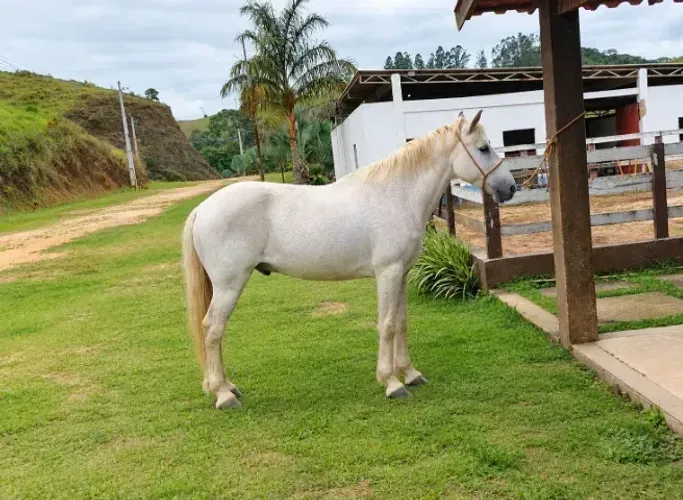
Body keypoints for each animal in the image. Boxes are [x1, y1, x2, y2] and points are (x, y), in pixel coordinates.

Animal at [182, 111, 517, 409]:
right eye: (483, 148)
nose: (511, 188)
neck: (397, 195)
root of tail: (203, 209)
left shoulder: (402, 274)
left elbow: (402, 322)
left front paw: (410, 374)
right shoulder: (387, 273)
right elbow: (387, 325)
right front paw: (392, 383)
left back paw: (227, 388)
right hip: (229, 284)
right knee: (213, 330)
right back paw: (223, 395)